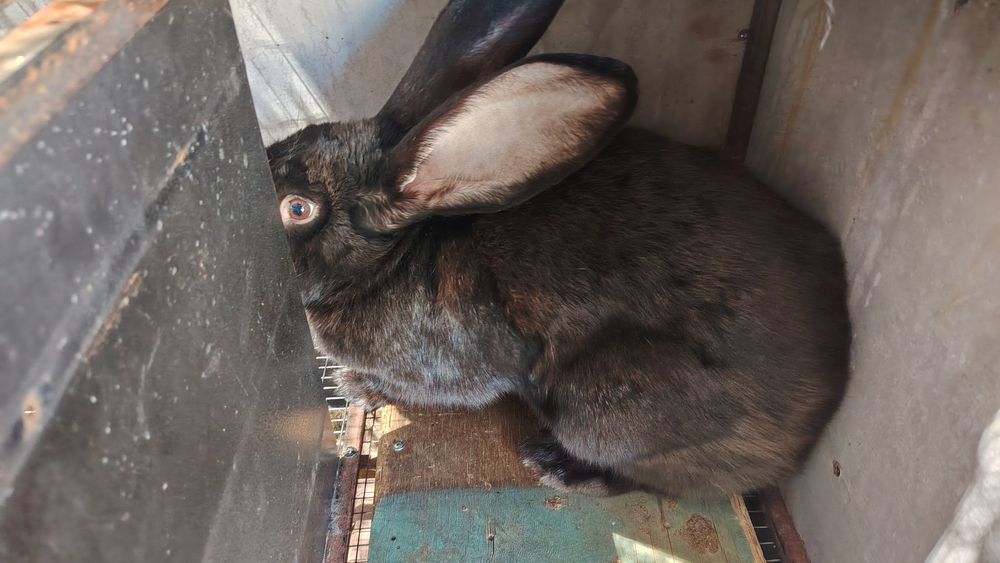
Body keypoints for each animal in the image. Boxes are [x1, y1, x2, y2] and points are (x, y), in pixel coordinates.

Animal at [266, 0, 850, 497]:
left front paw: (357, 386)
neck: (389, 259)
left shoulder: (451, 370)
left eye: (297, 209)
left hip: (604, 414)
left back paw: (557, 466)